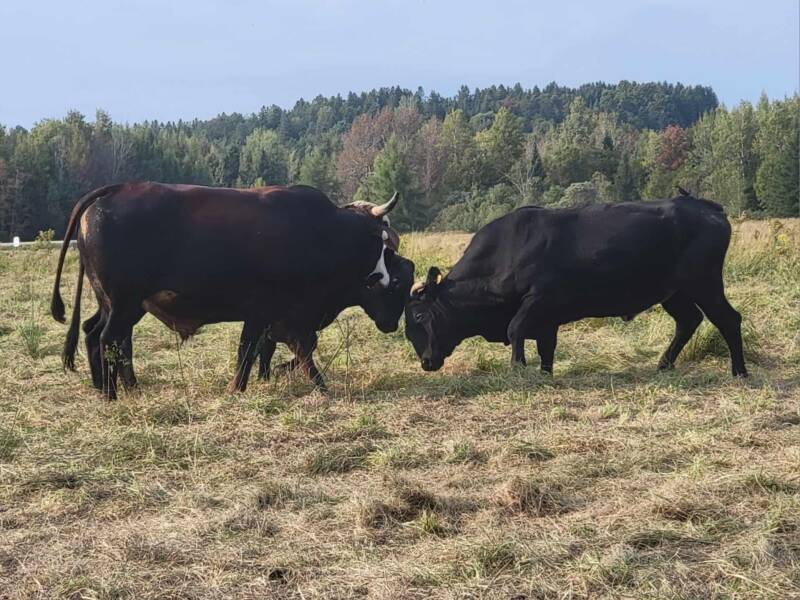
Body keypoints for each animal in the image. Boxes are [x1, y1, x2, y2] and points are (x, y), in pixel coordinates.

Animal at [51, 182, 410, 399]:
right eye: (379, 237)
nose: (382, 276)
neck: (322, 233)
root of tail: (115, 189)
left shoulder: (270, 317)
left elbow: (262, 351)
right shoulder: (275, 314)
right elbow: (269, 351)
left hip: (115, 304)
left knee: (95, 334)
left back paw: (111, 387)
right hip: (125, 305)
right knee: (108, 339)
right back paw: (113, 394)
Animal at [404, 193, 747, 378]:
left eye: (419, 316)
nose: (426, 362)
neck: (507, 250)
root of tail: (707, 208)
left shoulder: (539, 300)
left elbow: (515, 330)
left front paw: (518, 367)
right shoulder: (547, 318)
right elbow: (546, 347)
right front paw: (544, 373)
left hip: (705, 284)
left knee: (728, 319)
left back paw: (739, 371)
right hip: (674, 293)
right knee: (689, 320)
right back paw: (663, 364)